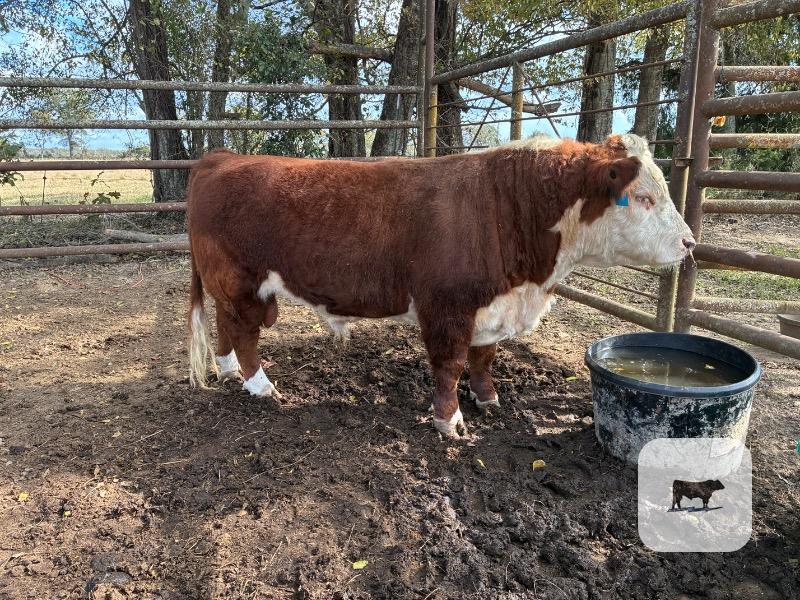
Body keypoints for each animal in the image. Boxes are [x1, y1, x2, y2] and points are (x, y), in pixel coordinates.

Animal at [186, 133, 695, 437]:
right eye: (644, 198)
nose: (690, 241)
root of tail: (221, 157)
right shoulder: (447, 308)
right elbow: (449, 366)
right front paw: (450, 421)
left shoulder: (491, 305)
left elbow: (484, 357)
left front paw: (488, 397)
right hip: (241, 281)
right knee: (244, 332)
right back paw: (259, 386)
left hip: (231, 286)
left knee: (226, 325)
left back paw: (227, 371)